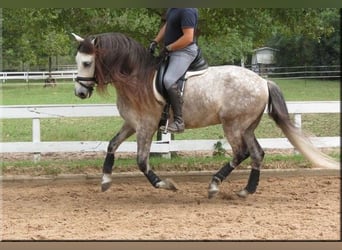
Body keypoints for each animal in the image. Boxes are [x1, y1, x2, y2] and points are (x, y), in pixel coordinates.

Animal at [71, 31, 338, 199]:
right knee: (257, 154)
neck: (137, 77)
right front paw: (105, 181)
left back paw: (214, 185)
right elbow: (112, 145)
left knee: (241, 153)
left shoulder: (146, 126)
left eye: (86, 63)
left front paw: (166, 184)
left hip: (233, 125)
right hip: (247, 126)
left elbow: (142, 161)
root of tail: (263, 81)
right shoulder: (132, 123)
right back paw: (246, 190)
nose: (80, 92)